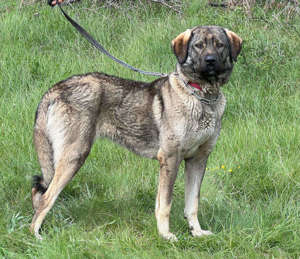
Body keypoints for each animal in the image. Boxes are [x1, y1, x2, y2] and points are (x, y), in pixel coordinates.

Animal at [30, 25, 241, 242]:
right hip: (74, 156)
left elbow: (192, 204)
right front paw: (165, 235)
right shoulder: (170, 158)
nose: (210, 60)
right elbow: (165, 204)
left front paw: (196, 232)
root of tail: (54, 90)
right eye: (198, 45)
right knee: (45, 198)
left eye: (219, 45)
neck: (200, 96)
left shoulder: (198, 160)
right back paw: (36, 235)